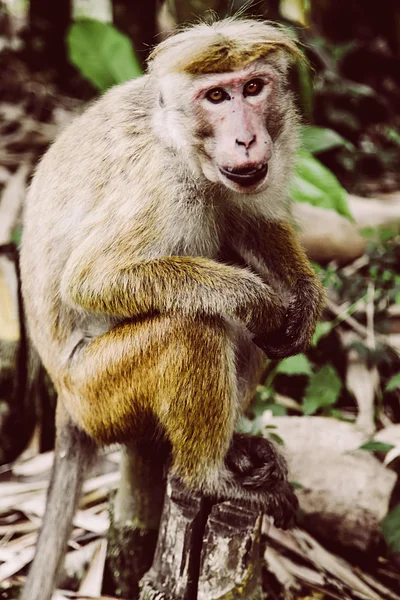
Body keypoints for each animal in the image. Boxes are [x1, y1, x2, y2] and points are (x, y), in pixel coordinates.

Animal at [19, 17, 324, 600]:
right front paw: (255, 297)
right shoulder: (161, 190)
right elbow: (91, 281)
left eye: (253, 88)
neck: (185, 150)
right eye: (217, 96)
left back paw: (236, 451)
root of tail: (65, 406)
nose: (246, 136)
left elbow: (253, 223)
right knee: (193, 325)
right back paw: (204, 475)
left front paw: (304, 297)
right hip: (97, 395)